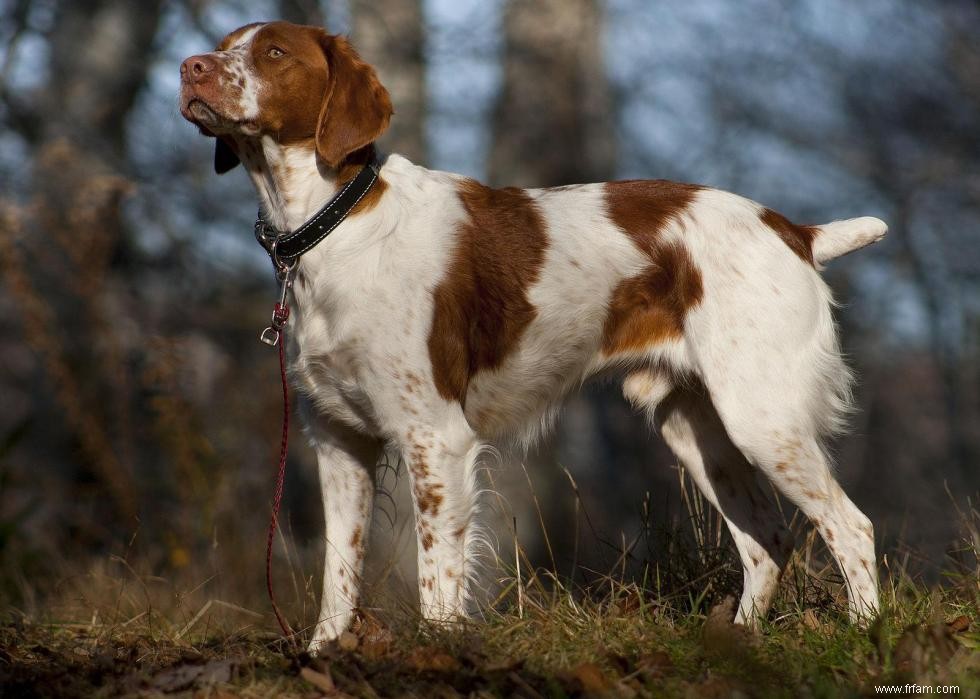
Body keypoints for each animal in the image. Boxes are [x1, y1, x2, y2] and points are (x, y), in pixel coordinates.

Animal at [178, 19, 888, 652]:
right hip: (697, 427)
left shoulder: (435, 437)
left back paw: (862, 634)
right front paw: (324, 655)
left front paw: (438, 654)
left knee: (850, 525)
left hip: (761, 416)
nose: (189, 68)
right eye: (223, 45)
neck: (332, 226)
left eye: (273, 52)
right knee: (768, 539)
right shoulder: (338, 439)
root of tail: (794, 231)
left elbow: (437, 578)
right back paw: (739, 642)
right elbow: (339, 574)